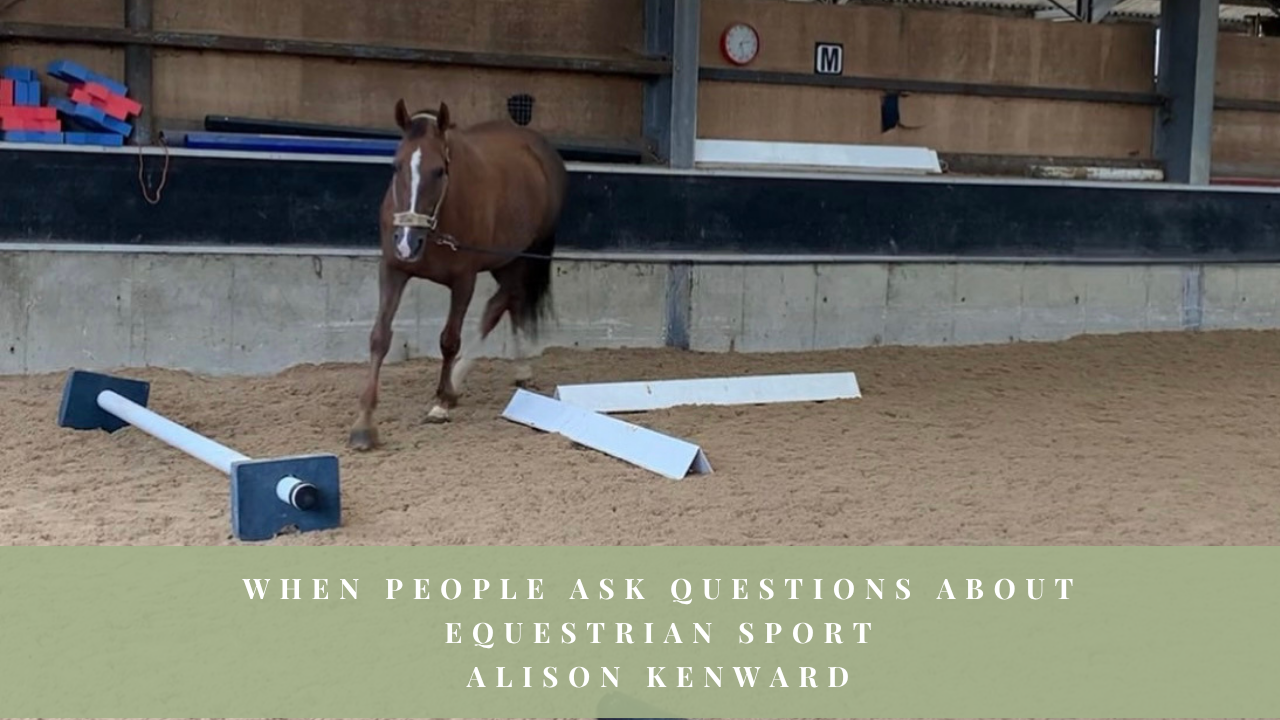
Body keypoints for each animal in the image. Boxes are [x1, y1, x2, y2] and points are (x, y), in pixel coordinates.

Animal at [347, 98, 569, 451]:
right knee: (510, 301)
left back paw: (461, 380)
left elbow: (449, 341)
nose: (407, 242)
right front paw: (364, 424)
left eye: (439, 170)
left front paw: (442, 403)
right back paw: (511, 369)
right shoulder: (393, 270)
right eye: (396, 166)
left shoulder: (464, 279)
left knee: (502, 303)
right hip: (504, 260)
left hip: (525, 254)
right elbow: (379, 337)